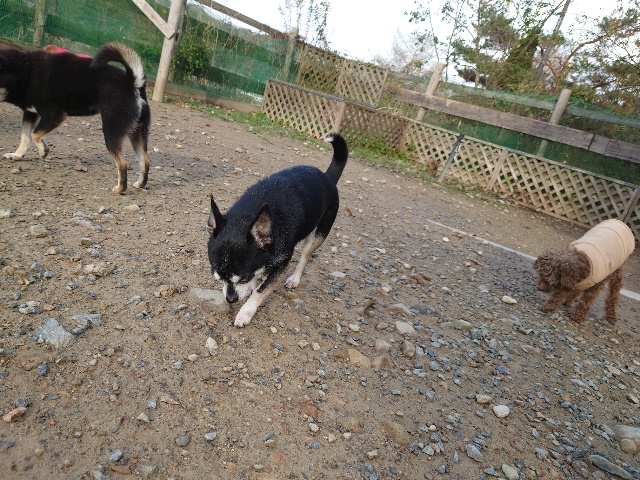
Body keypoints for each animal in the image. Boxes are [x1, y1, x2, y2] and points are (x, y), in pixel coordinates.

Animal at [0, 42, 150, 194]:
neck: (26, 70)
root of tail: (133, 82)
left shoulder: (54, 114)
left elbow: (34, 134)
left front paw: (43, 150)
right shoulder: (30, 113)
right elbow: (25, 137)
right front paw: (17, 155)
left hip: (111, 131)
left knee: (123, 164)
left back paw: (120, 189)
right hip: (137, 133)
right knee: (145, 162)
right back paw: (140, 184)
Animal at [207, 133, 348, 327]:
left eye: (242, 279)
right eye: (218, 278)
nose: (230, 299)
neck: (248, 215)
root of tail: (328, 178)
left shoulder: (281, 263)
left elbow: (261, 290)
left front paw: (245, 312)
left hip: (318, 234)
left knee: (305, 258)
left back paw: (294, 279)